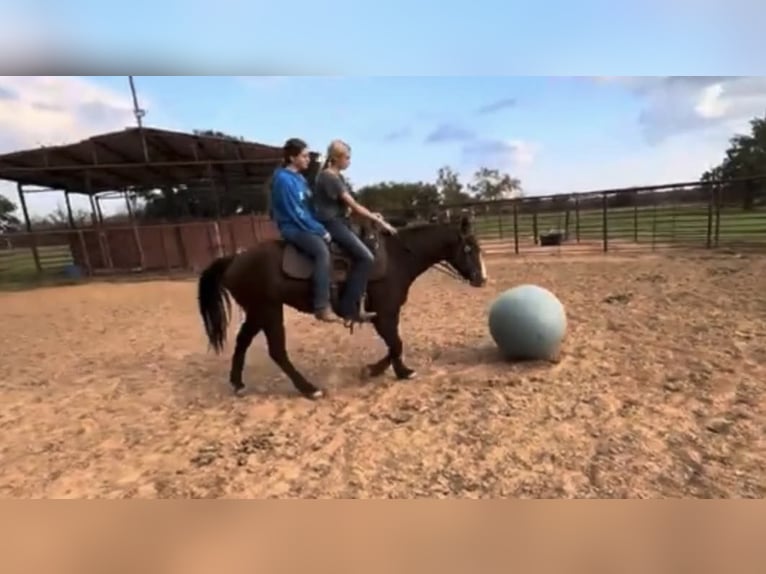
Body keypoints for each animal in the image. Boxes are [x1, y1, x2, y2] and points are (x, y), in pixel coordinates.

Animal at [196, 215, 486, 400]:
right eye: (469, 248)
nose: (482, 279)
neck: (397, 258)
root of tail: (234, 259)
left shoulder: (385, 315)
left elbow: (395, 344)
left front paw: (382, 370)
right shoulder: (384, 314)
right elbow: (396, 344)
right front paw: (394, 371)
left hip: (257, 312)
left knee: (242, 342)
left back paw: (238, 383)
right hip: (268, 311)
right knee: (277, 352)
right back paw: (309, 389)